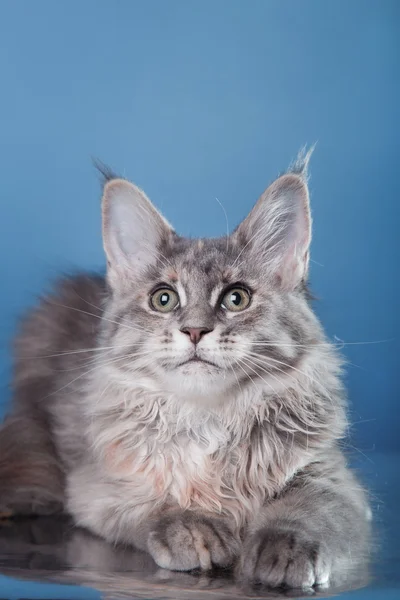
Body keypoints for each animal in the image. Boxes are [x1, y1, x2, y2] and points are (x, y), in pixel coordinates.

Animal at [0, 151, 372, 592]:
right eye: (163, 299)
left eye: (236, 298)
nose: (194, 330)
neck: (208, 416)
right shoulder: (101, 484)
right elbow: (157, 500)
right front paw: (194, 529)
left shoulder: (330, 476)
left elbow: (307, 510)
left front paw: (284, 549)